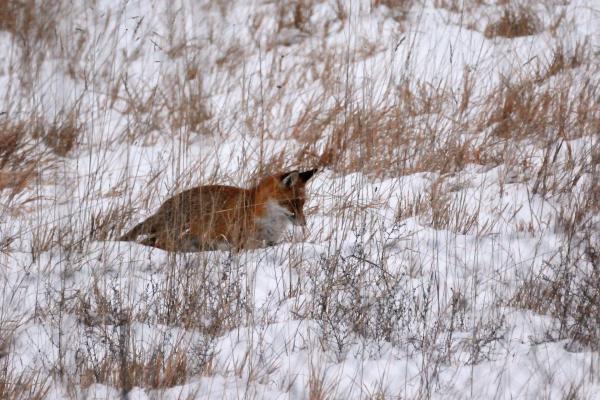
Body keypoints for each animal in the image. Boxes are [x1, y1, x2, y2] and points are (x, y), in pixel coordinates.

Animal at [118, 170, 318, 252]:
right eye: (292, 203)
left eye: (303, 203)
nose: (304, 223)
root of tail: (162, 209)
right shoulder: (243, 243)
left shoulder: (267, 241)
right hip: (177, 237)